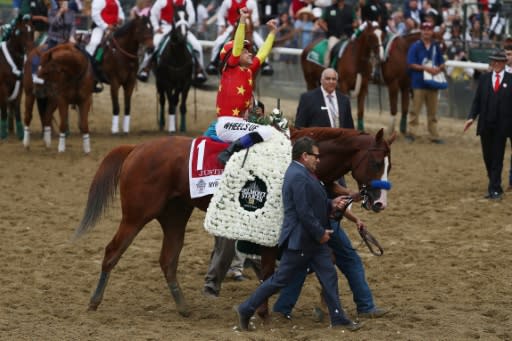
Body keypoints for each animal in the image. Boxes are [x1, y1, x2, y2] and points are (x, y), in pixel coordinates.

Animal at [75, 125, 396, 318]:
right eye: (376, 162)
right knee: (112, 252)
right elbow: (272, 268)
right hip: (136, 214)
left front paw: (323, 307)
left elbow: (321, 258)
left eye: (391, 165)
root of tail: (136, 149)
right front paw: (265, 311)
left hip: (175, 215)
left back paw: (183, 307)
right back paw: (94, 301)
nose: (379, 202)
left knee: (168, 259)